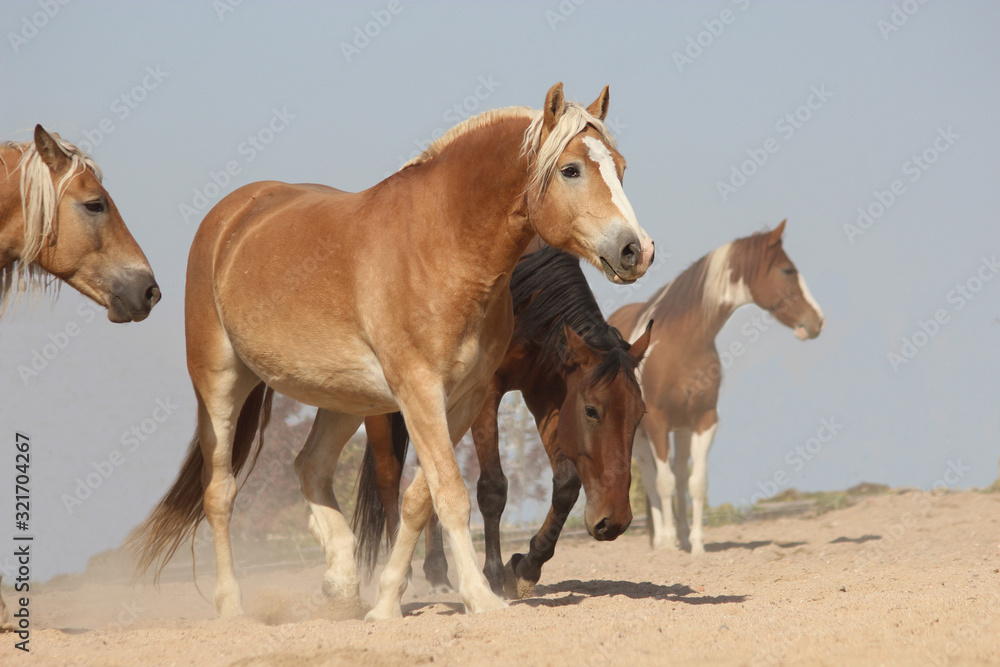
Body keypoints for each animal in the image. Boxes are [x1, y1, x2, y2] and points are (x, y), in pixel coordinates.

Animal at [352, 247, 651, 599]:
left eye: (640, 414)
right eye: (592, 411)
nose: (614, 521)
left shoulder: (546, 394)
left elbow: (566, 484)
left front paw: (526, 566)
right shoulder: (486, 391)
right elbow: (492, 488)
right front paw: (493, 574)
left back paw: (437, 573)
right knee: (388, 477)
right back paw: (407, 576)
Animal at [607, 220, 824, 555]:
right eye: (788, 270)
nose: (818, 321)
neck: (681, 342)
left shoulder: (704, 420)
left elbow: (695, 483)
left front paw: (696, 545)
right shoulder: (657, 423)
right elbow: (662, 483)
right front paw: (668, 544)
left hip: (681, 429)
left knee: (679, 474)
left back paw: (681, 537)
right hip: (640, 433)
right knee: (651, 476)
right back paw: (662, 541)